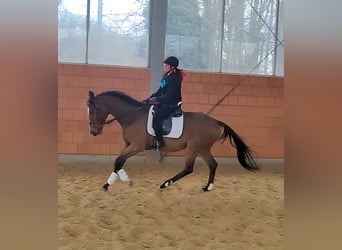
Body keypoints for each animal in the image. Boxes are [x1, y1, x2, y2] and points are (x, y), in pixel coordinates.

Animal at [87, 90, 258, 191]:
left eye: (92, 110)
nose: (93, 132)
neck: (132, 117)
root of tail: (215, 122)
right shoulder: (127, 144)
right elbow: (118, 161)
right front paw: (107, 184)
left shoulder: (136, 146)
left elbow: (118, 161)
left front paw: (126, 180)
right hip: (203, 148)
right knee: (213, 164)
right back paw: (207, 187)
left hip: (194, 147)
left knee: (188, 168)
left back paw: (165, 184)